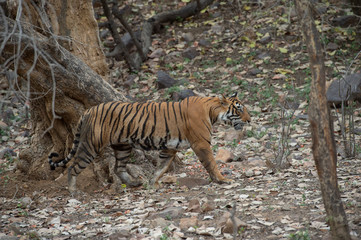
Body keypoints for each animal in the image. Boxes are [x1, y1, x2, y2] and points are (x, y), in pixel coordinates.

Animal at [47, 92, 250, 193]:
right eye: (239, 109)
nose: (250, 119)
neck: (212, 111)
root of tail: (88, 111)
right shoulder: (201, 143)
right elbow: (211, 163)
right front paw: (222, 179)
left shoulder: (169, 147)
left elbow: (161, 167)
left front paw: (152, 183)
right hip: (90, 145)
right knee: (73, 167)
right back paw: (74, 192)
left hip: (122, 146)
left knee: (118, 168)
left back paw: (135, 183)